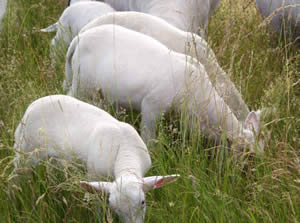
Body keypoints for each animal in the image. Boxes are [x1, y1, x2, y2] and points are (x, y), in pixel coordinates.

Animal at [12, 95, 179, 223]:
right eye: (113, 207)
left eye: (143, 202)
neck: (125, 153)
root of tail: (34, 104)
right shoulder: (94, 174)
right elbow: (97, 202)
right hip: (25, 149)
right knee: (15, 178)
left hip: (54, 156)